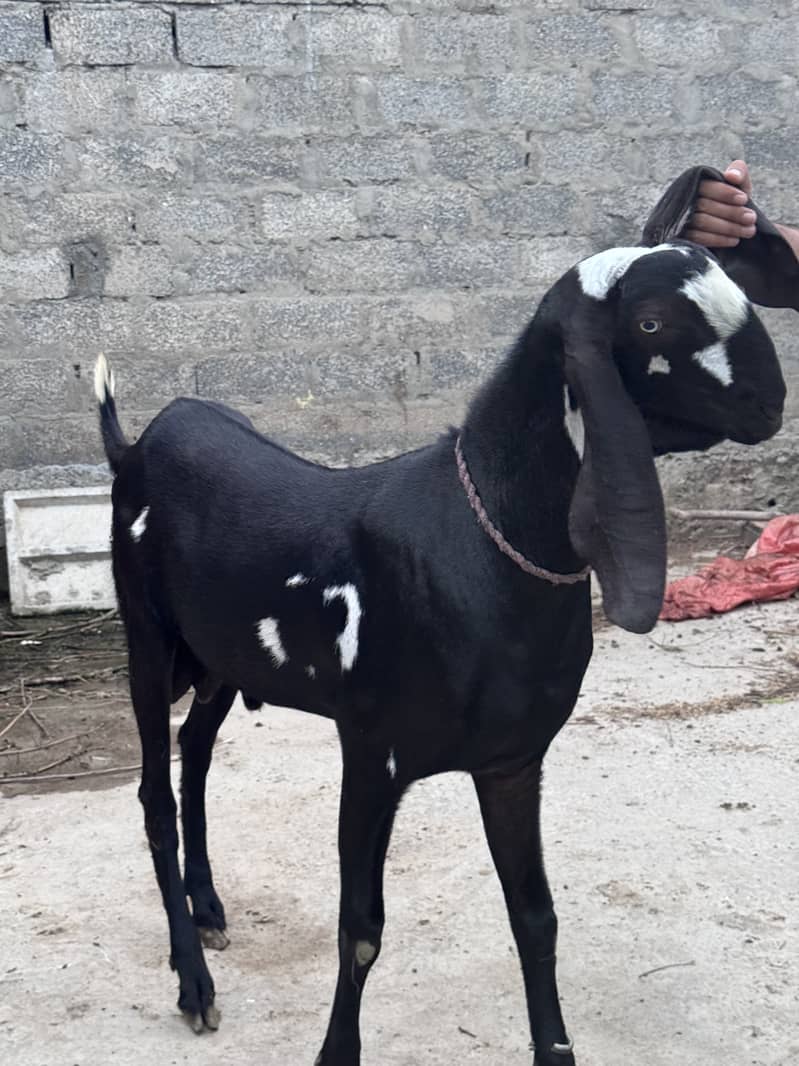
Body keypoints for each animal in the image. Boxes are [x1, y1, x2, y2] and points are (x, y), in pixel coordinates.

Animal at [94, 239, 785, 1065]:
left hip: (221, 660)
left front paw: (554, 1050)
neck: (475, 544)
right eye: (650, 320)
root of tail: (137, 444)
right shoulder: (371, 754)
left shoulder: (512, 762)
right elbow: (360, 927)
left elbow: (535, 916)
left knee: (194, 754)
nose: (771, 400)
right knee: (156, 796)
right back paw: (192, 981)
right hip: (147, 639)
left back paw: (207, 906)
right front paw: (335, 1053)